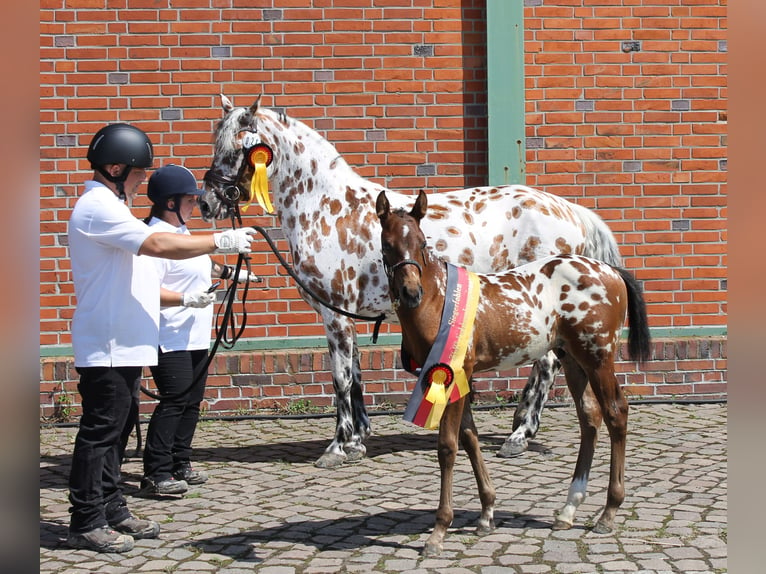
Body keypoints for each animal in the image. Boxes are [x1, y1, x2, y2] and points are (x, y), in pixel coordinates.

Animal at [201, 95, 628, 472]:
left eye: (238, 147)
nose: (208, 202)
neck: (330, 210)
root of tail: (567, 209)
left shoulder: (334, 315)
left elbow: (340, 378)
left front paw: (337, 447)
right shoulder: (345, 314)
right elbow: (355, 375)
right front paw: (357, 440)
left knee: (546, 363)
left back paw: (519, 434)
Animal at [378, 190, 656, 560]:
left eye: (422, 243)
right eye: (387, 244)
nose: (411, 292)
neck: (438, 299)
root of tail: (610, 271)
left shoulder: (452, 375)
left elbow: (448, 447)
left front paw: (439, 531)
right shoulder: (460, 379)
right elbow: (470, 438)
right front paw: (486, 514)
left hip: (598, 358)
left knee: (616, 414)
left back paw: (608, 512)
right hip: (573, 361)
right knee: (590, 418)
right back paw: (568, 509)